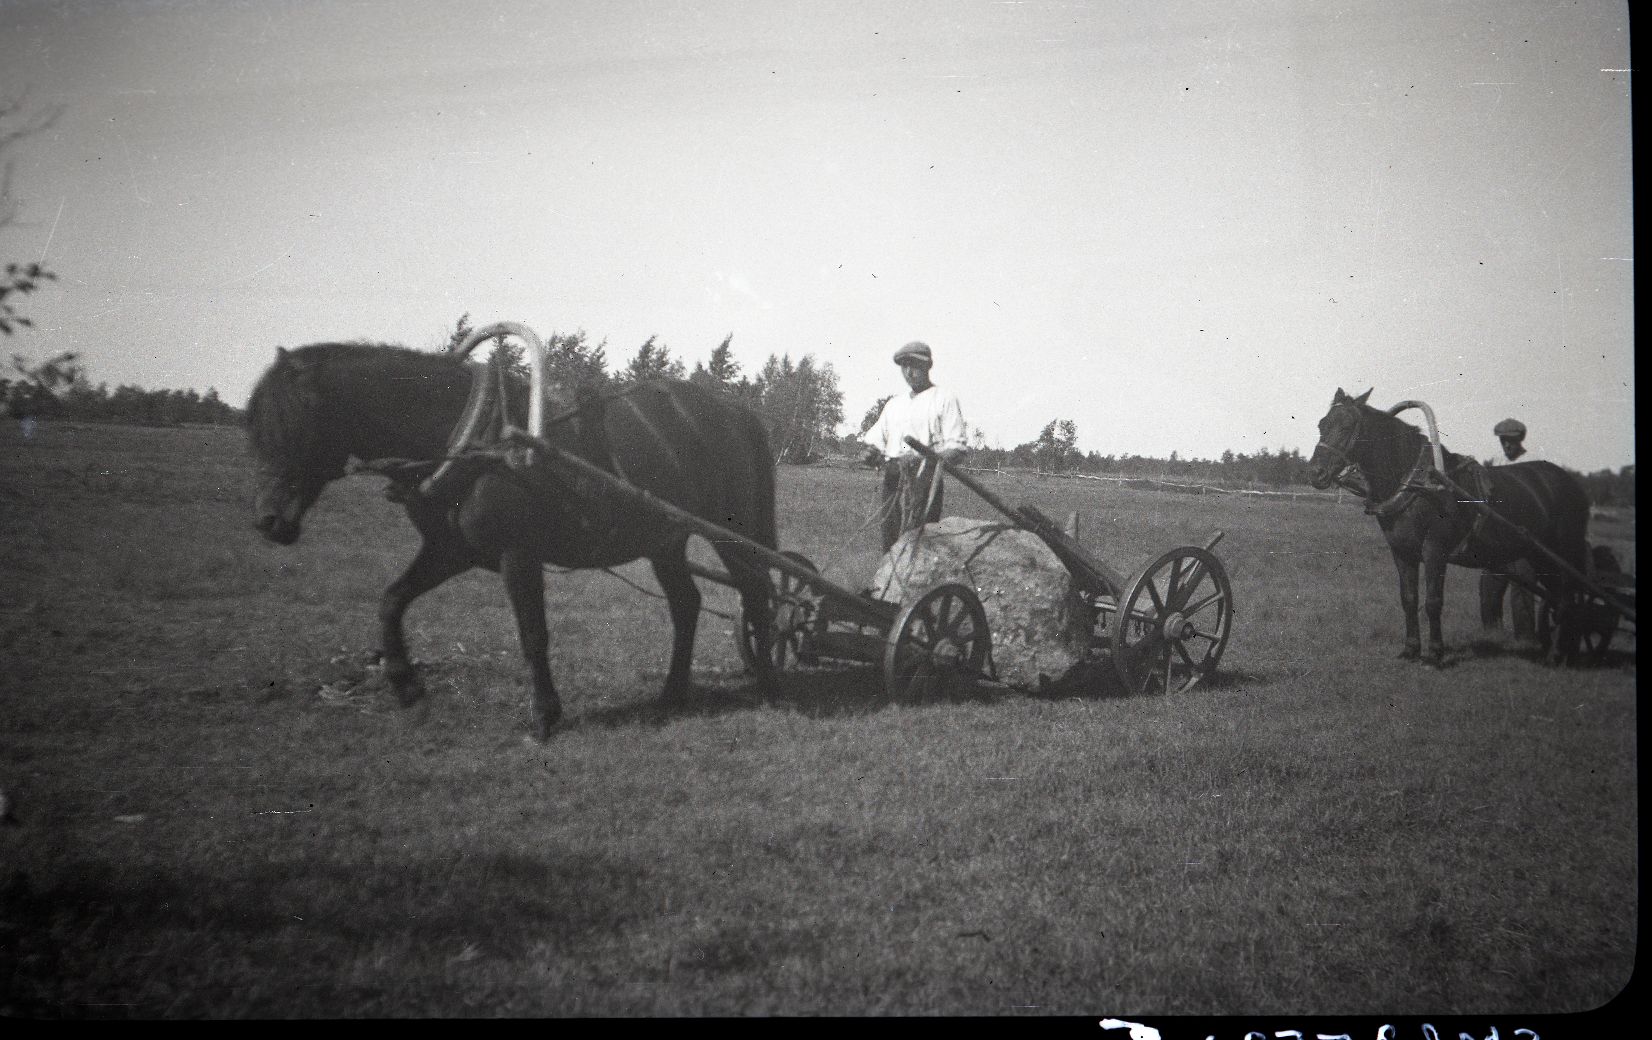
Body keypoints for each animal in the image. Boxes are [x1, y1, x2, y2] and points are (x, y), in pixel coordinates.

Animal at [244, 336, 779, 742]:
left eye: (297, 419)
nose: (268, 521)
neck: (473, 440)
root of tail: (738, 412)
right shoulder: (450, 551)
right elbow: (391, 599)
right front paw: (405, 684)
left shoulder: (517, 555)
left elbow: (532, 634)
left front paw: (543, 716)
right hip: (664, 539)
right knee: (687, 604)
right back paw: (672, 693)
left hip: (733, 532)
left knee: (758, 592)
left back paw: (769, 682)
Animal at [1308, 389, 1592, 666]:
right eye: (1322, 424)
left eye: (1347, 427)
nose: (1315, 473)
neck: (1418, 483)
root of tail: (1572, 483)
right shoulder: (1402, 551)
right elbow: (1408, 599)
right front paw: (1410, 650)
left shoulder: (1435, 550)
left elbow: (1433, 602)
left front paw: (1435, 653)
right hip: (1538, 555)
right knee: (1557, 597)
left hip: (1562, 552)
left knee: (1566, 596)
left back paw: (1557, 653)